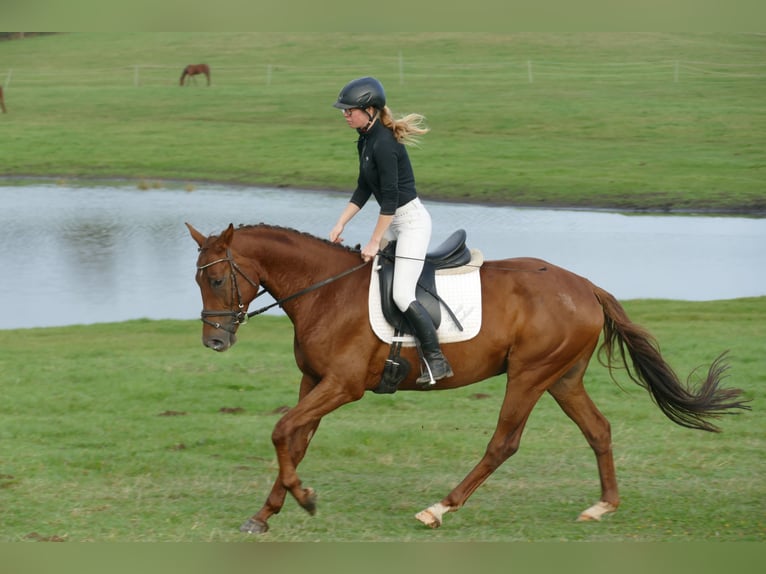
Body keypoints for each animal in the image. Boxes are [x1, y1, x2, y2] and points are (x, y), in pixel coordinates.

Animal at [186, 224, 752, 536]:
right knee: (599, 430)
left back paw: (439, 508)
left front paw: (303, 499)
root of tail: (585, 286)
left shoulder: (341, 387)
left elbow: (282, 431)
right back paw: (602, 506)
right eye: (198, 279)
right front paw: (267, 512)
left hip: (529, 375)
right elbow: (295, 440)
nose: (214, 342)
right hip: (563, 378)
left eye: (214, 278)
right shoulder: (314, 383)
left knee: (503, 442)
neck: (325, 291)